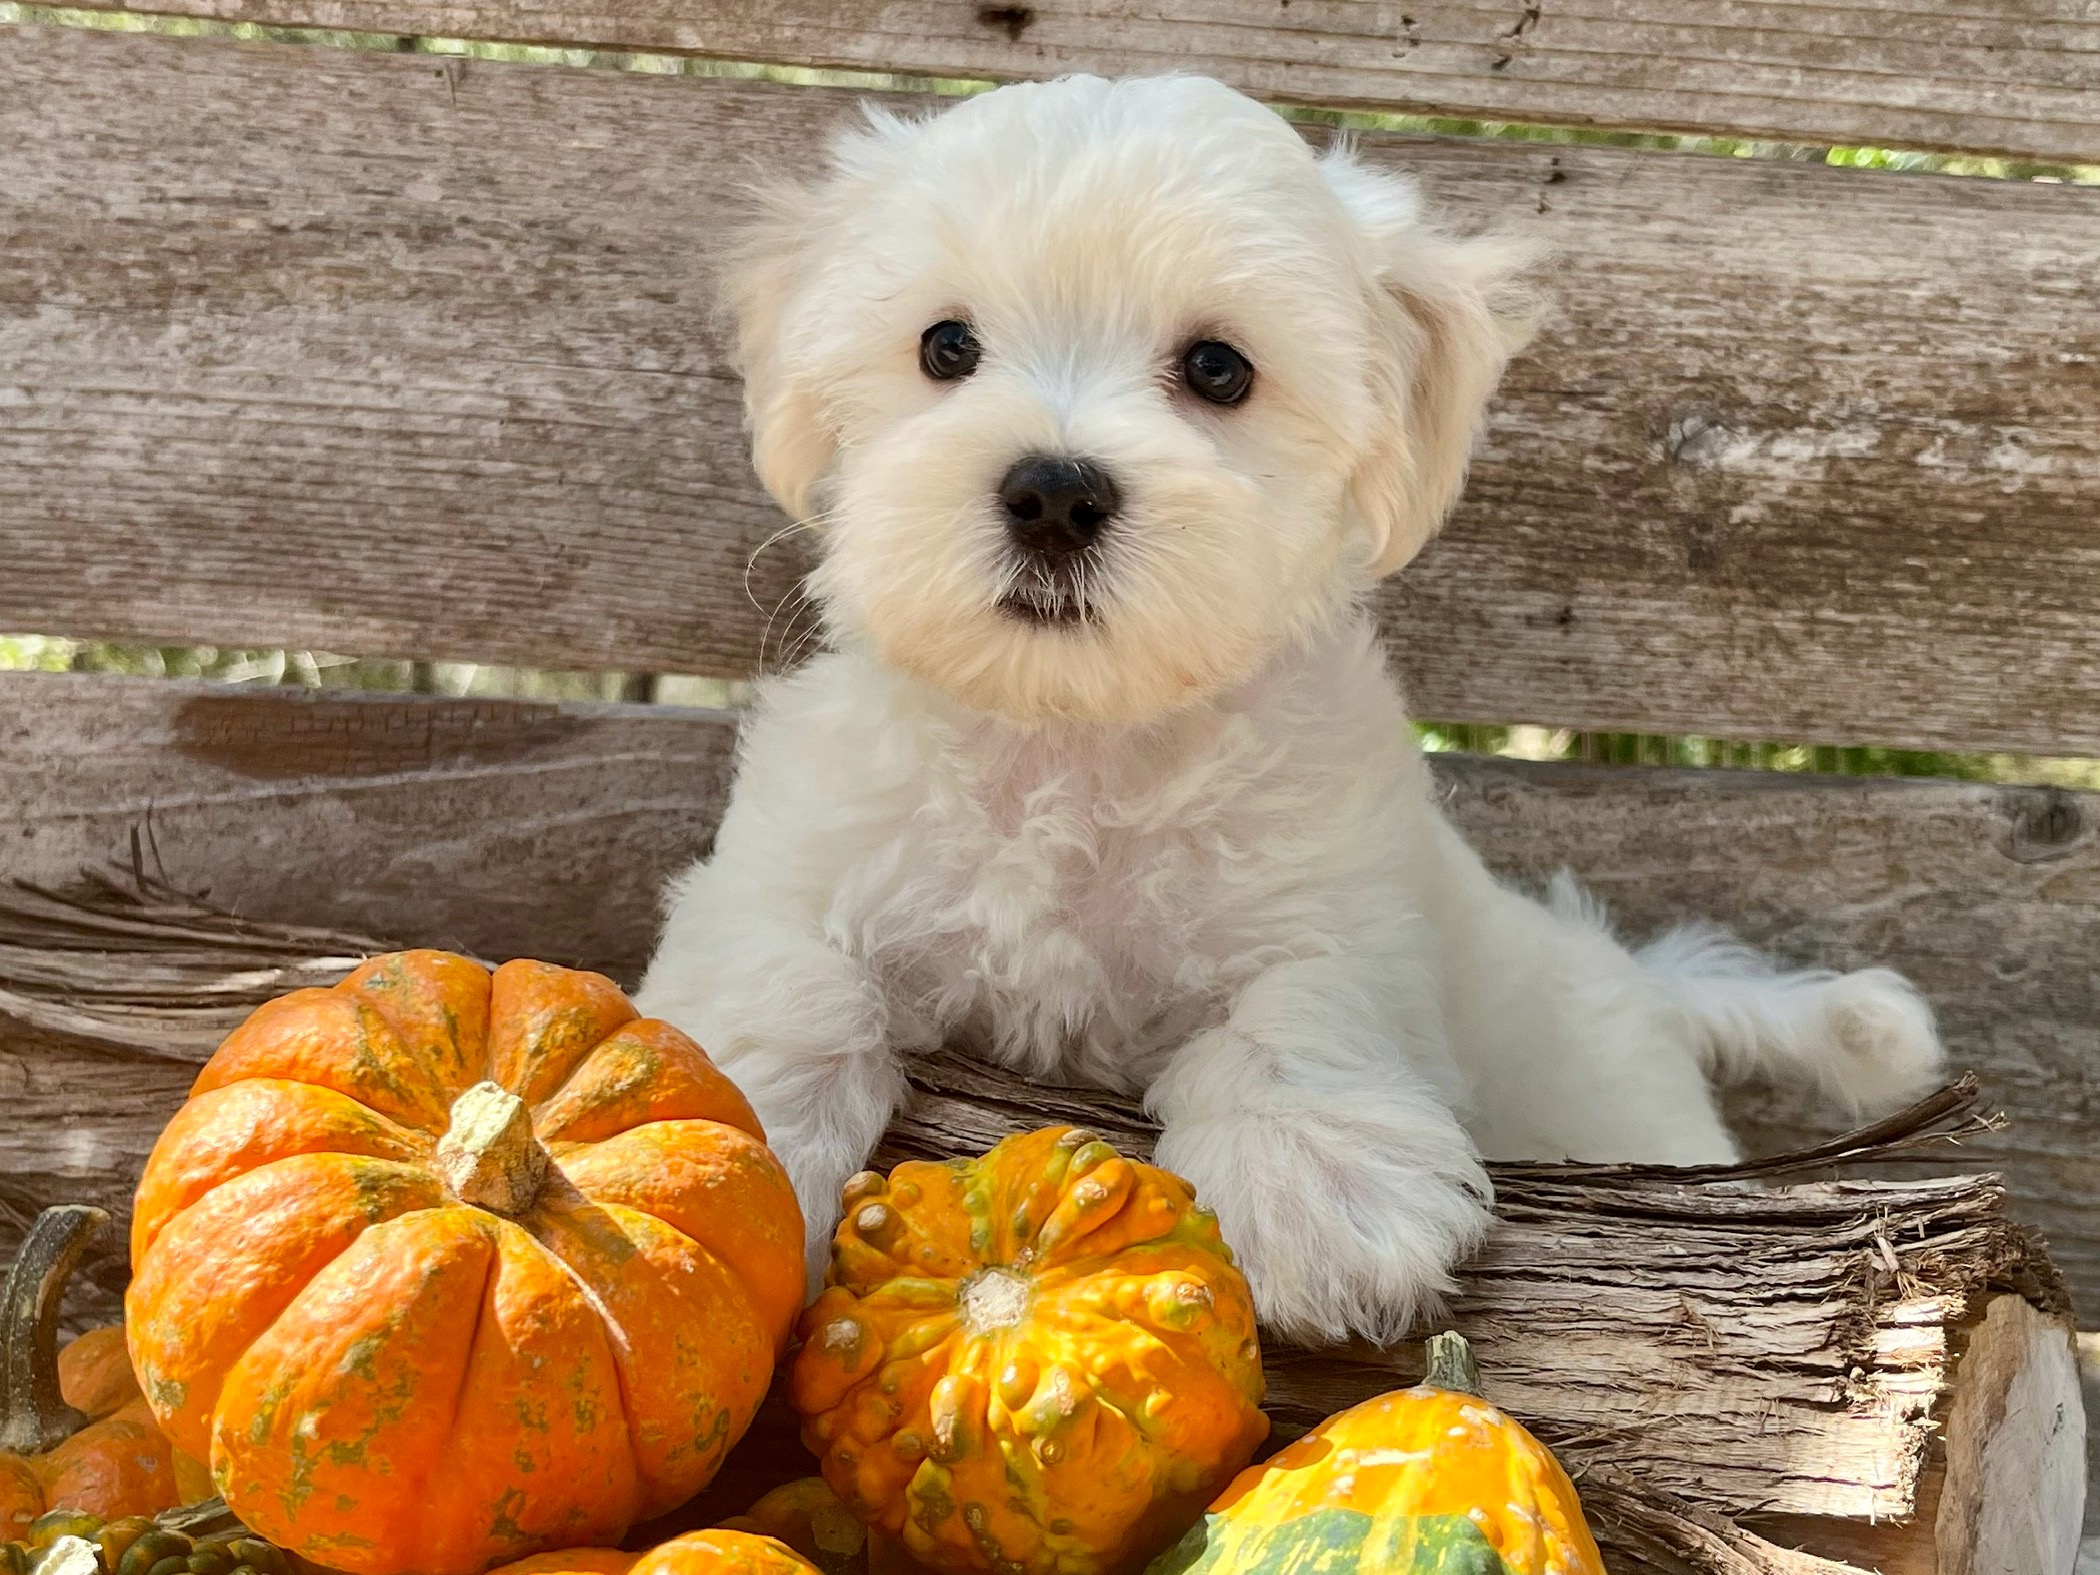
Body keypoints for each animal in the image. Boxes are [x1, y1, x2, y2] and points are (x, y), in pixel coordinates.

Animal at [634, 74, 1931, 1344]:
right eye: (945, 347)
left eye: (1219, 370)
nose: (1052, 492)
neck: (1075, 737)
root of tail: (1635, 976)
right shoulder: (790, 862)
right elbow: (783, 983)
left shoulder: (1347, 897)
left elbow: (1301, 1002)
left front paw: (1324, 1193)